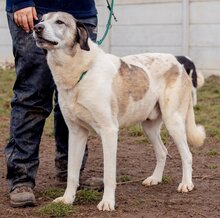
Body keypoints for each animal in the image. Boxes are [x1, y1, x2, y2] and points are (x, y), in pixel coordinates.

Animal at [33, 11, 205, 211]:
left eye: (60, 21)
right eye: (41, 19)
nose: (36, 28)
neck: (78, 72)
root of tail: (178, 62)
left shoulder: (109, 132)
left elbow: (109, 175)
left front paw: (108, 202)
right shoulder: (76, 133)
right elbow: (72, 173)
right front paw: (68, 199)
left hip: (173, 122)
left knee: (187, 155)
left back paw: (186, 184)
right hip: (149, 127)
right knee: (162, 152)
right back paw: (155, 179)